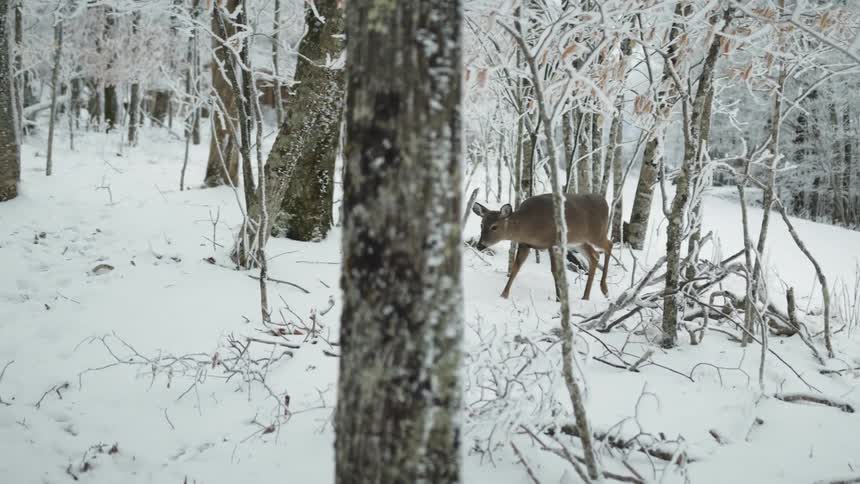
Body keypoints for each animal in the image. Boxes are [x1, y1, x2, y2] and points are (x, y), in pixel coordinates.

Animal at [472, 193, 612, 300]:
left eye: (494, 227)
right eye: (481, 224)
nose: (480, 245)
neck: (529, 226)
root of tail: (605, 202)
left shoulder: (552, 243)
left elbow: (554, 271)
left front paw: (558, 298)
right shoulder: (525, 244)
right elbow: (516, 268)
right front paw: (504, 294)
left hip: (597, 234)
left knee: (609, 245)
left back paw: (604, 289)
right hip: (578, 241)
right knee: (595, 256)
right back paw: (586, 296)